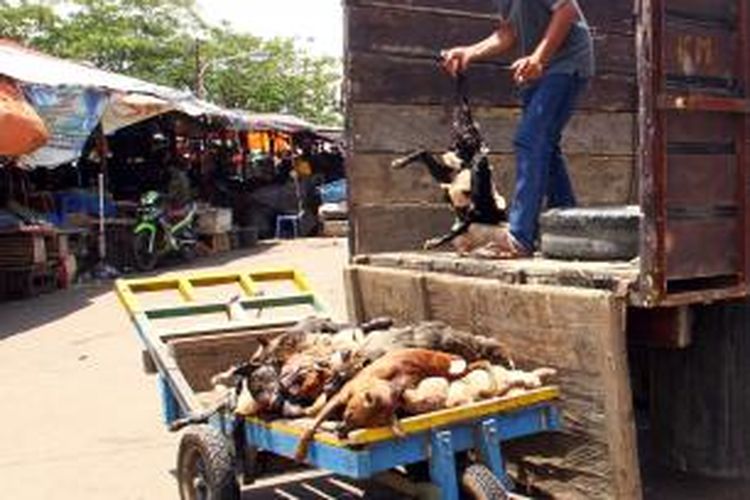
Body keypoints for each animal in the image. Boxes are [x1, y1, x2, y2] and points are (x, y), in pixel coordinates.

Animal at [296, 348, 468, 460]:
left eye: (362, 426)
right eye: (348, 415)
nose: (340, 430)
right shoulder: (338, 399)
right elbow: (312, 427)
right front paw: (300, 450)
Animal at [394, 72, 512, 256]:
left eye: (458, 143)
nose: (449, 149)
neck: (469, 163)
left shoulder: (478, 177)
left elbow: (472, 211)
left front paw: (436, 241)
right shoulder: (453, 174)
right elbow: (426, 155)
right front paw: (401, 161)